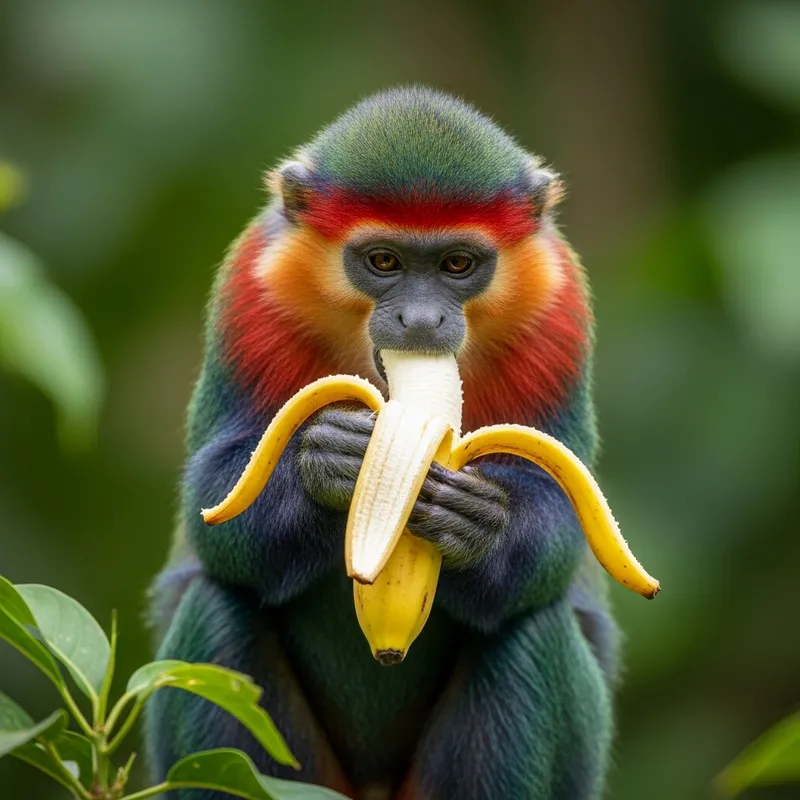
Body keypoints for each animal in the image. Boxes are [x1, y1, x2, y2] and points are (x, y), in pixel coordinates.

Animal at [146, 86, 620, 800]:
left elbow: (559, 538)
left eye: (457, 264)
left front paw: (477, 521)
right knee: (216, 605)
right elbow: (216, 517)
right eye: (385, 262)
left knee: (532, 629)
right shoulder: (250, 290)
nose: (420, 319)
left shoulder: (558, 311)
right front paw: (326, 464)